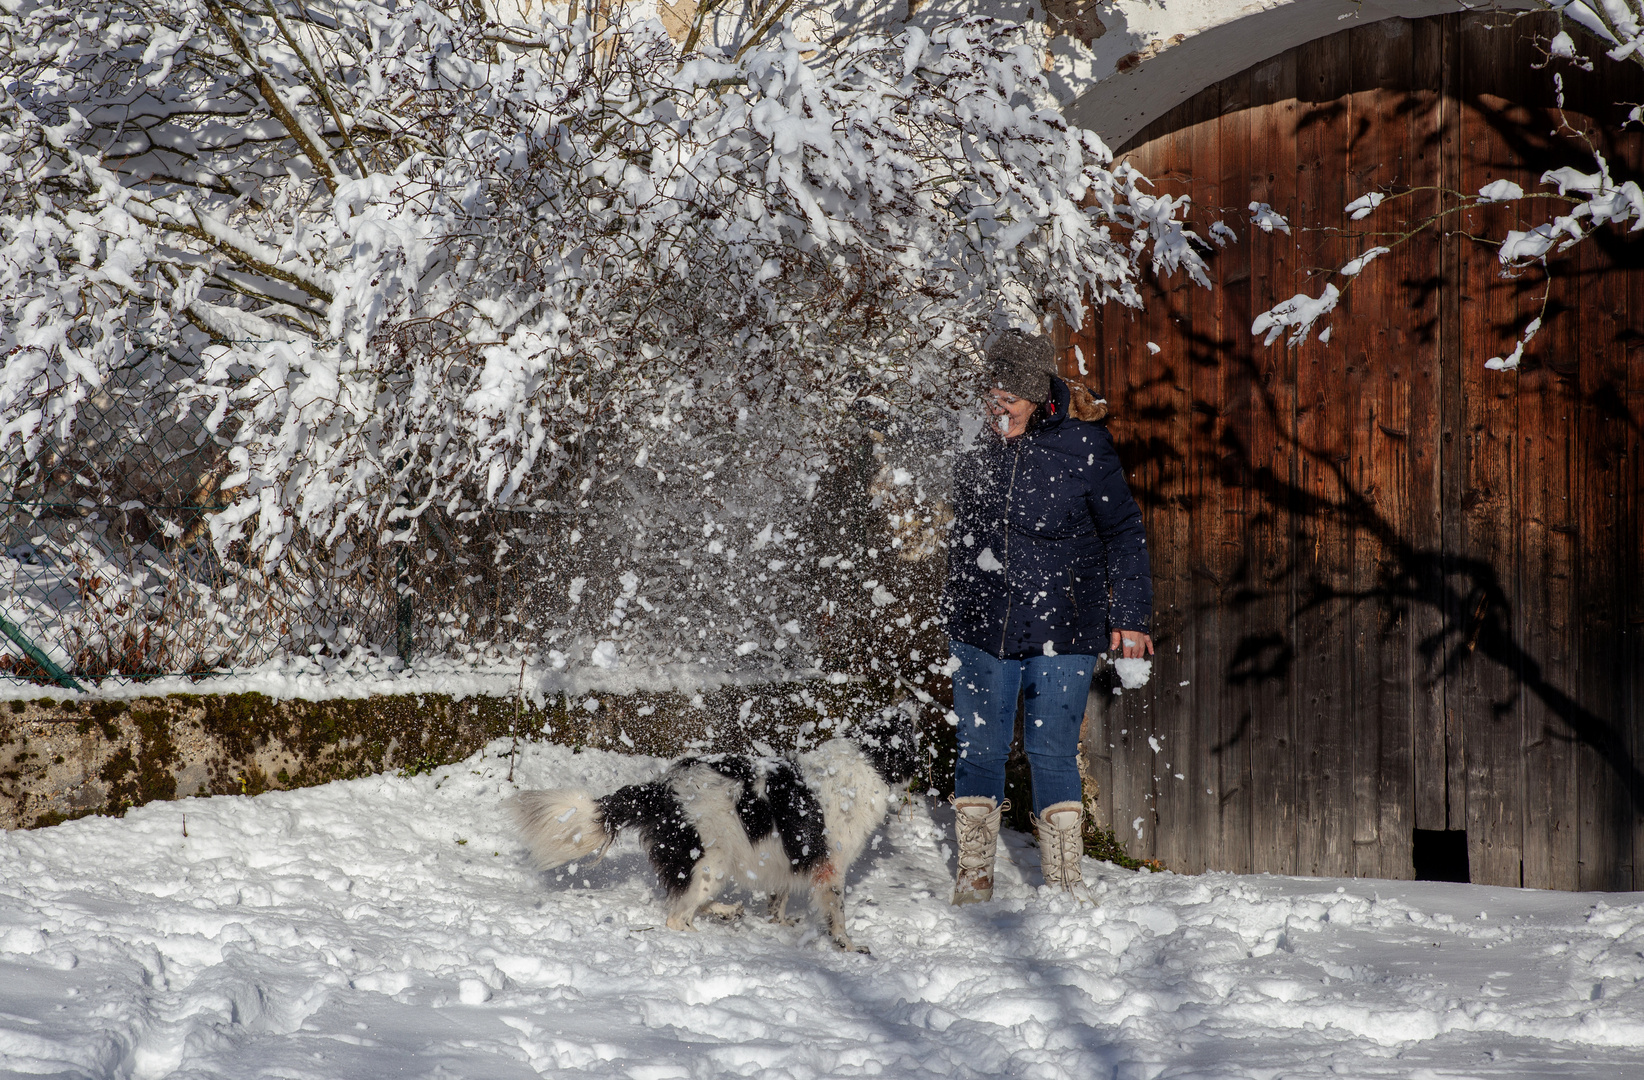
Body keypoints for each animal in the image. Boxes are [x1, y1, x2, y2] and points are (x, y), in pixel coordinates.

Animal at [509, 716, 920, 953]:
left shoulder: (789, 858)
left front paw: (779, 922)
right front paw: (848, 946)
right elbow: (838, 914)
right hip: (711, 860)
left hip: (710, 863)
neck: (866, 758)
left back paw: (727, 912)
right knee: (677, 917)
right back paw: (702, 933)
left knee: (688, 903)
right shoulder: (829, 867)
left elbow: (779, 898)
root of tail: (661, 789)